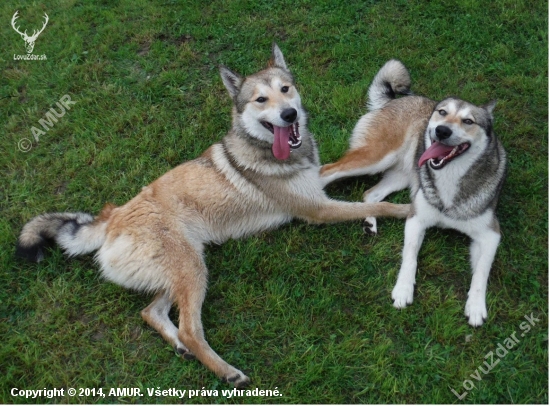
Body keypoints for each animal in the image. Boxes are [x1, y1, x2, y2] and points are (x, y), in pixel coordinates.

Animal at [15, 45, 412, 386]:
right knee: (190, 329)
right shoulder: (318, 209)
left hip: (184, 269)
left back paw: (180, 347)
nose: (289, 114)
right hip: (192, 269)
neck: (269, 151)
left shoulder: (317, 189)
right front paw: (409, 208)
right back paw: (226, 371)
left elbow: (353, 187)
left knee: (152, 312)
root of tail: (112, 218)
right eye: (260, 100)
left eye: (286, 89)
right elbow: (376, 204)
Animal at [324, 59, 508, 326]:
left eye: (469, 121)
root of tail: (392, 100)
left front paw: (475, 306)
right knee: (325, 171)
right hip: (376, 158)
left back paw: (370, 222)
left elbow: (481, 273)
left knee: (371, 193)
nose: (441, 131)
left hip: (403, 174)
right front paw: (403, 290)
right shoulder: (416, 219)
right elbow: (410, 257)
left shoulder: (490, 234)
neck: (451, 176)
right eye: (442, 112)